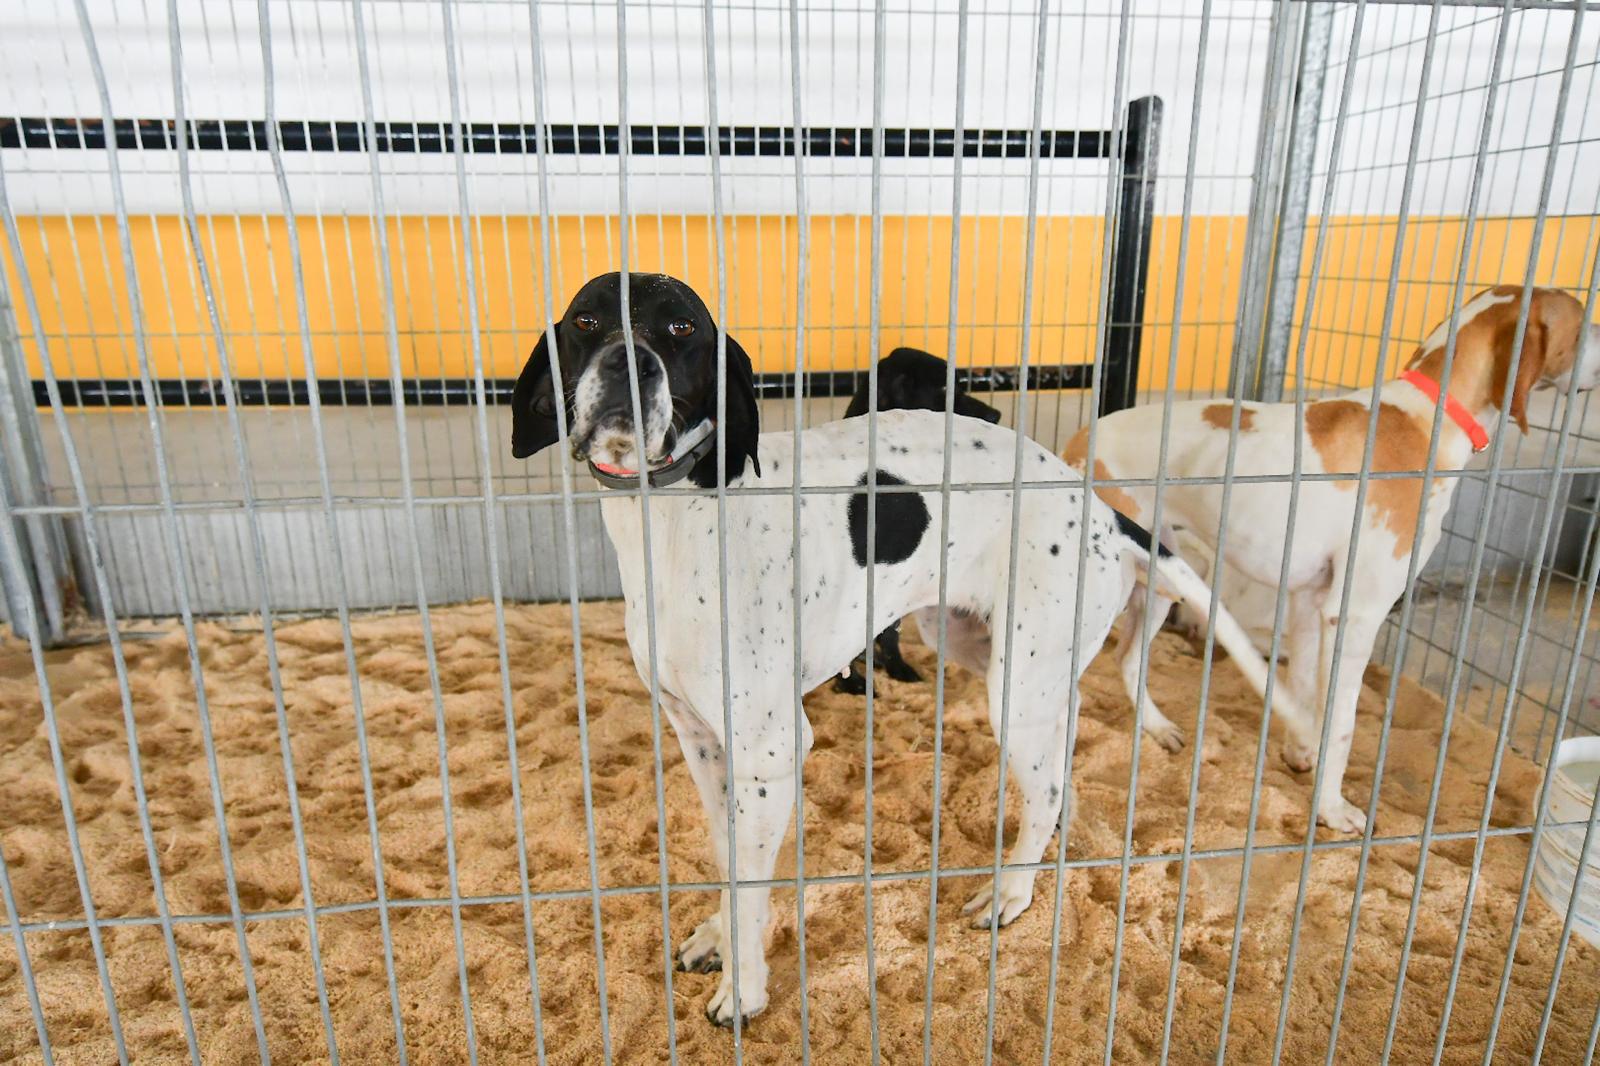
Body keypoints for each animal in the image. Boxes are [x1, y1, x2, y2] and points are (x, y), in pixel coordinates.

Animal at [1062, 284, 1600, 832]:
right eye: (1583, 323)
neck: (1424, 420)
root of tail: (1082, 437)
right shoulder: (1356, 614)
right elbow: (1341, 726)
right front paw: (1333, 808)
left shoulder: (1308, 600)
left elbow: (1302, 689)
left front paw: (1300, 753)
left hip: (1163, 580)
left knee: (1129, 659)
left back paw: (1156, 727)